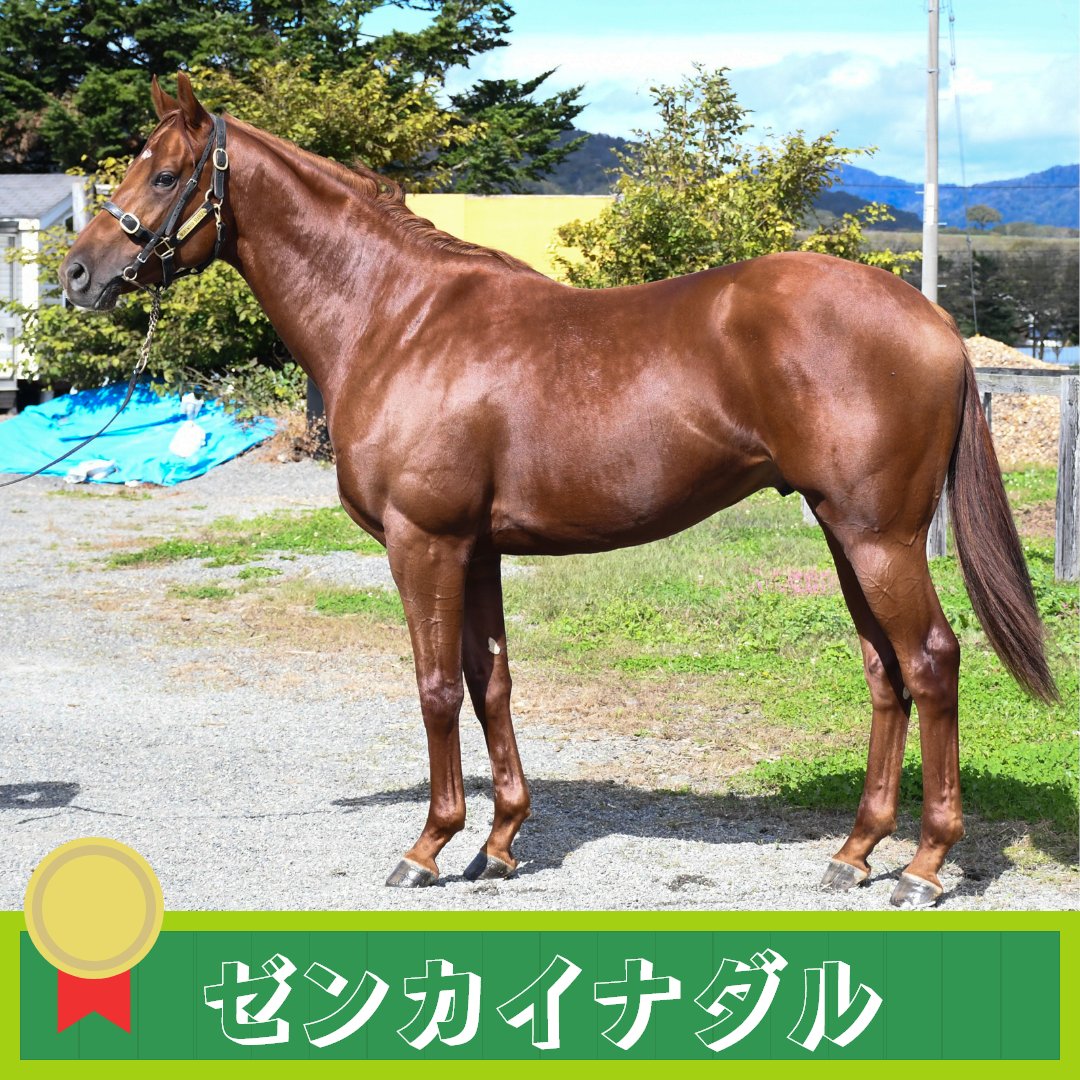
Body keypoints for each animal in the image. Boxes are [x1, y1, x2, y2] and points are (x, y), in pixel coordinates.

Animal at [60, 73, 1057, 908]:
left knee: (931, 662)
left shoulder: (424, 542)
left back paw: (924, 866)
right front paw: (499, 842)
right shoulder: (477, 549)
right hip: (844, 533)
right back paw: (854, 852)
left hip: (879, 537)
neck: (398, 319)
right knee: (885, 674)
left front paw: (428, 845)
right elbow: (490, 681)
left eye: (166, 173)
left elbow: (434, 687)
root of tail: (932, 321)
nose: (76, 274)